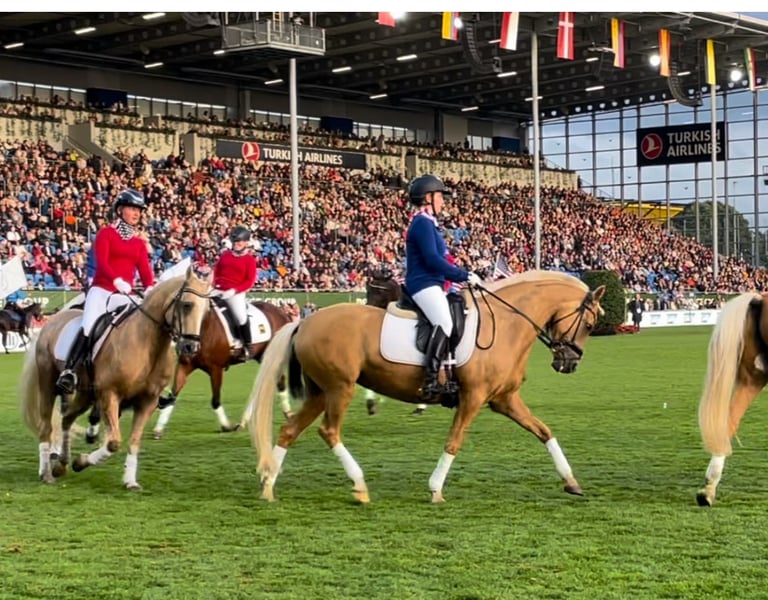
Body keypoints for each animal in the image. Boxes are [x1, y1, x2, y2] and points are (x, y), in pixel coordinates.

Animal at [18, 267, 212, 489]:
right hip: (48, 384)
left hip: (85, 394)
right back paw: (46, 472)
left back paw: (62, 465)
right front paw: (82, 461)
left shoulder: (147, 401)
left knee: (67, 419)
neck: (147, 345)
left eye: (207, 311)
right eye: (187, 305)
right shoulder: (110, 395)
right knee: (46, 425)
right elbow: (113, 442)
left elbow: (134, 442)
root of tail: (54, 320)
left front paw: (129, 480)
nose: (191, 347)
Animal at [150, 300, 294, 439]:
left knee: (278, 382)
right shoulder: (184, 366)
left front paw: (226, 426)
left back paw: (287, 414)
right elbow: (173, 396)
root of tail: (282, 313)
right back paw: (246, 421)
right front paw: (159, 428)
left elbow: (215, 400)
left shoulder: (216, 369)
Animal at [245, 270, 605, 504]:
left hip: (321, 392)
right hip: (339, 389)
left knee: (290, 430)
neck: (506, 324)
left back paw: (268, 484)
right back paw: (359, 486)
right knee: (329, 431)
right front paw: (435, 489)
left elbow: (544, 431)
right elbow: (454, 441)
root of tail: (306, 320)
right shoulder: (473, 398)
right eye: (589, 325)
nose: (568, 364)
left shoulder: (504, 399)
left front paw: (571, 482)